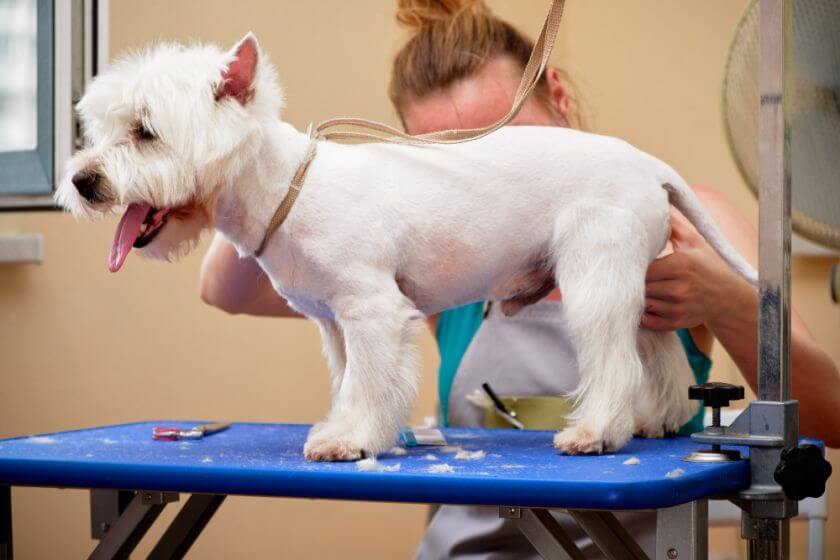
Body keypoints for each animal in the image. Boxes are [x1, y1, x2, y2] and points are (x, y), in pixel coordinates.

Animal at [57, 34, 756, 460]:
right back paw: (655, 420)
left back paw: (595, 432)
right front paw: (346, 429)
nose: (82, 181)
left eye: (145, 132)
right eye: (102, 127)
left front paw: (354, 442)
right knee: (660, 351)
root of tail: (649, 166)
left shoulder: (372, 312)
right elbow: (351, 383)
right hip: (633, 285)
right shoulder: (336, 325)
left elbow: (371, 384)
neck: (287, 187)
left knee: (617, 362)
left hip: (593, 279)